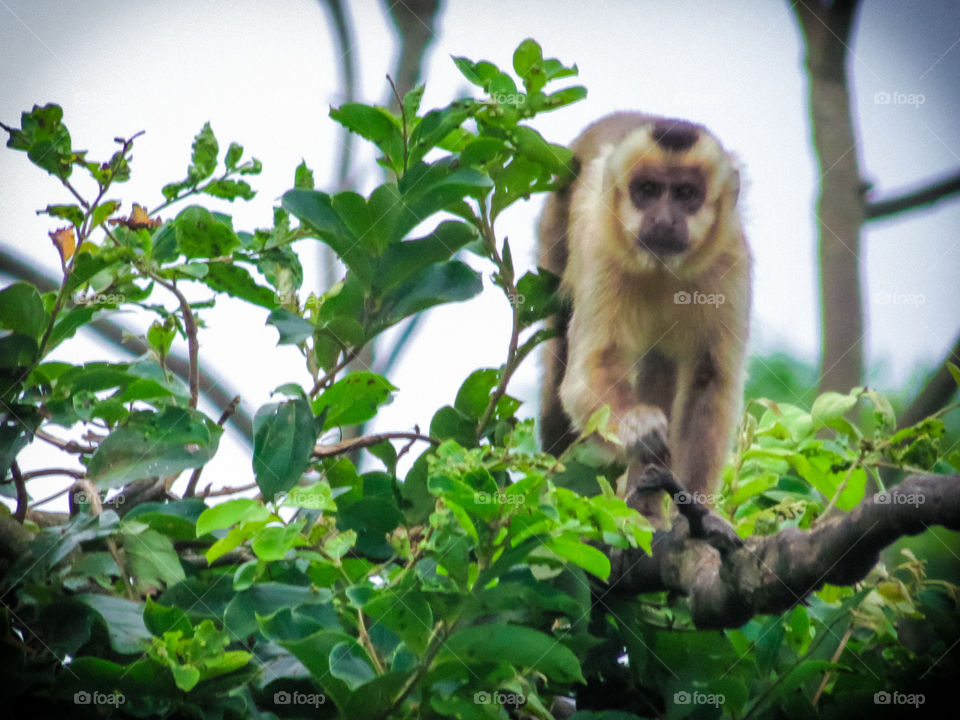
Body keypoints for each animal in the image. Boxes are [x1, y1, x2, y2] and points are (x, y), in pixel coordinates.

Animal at [538, 112, 750, 515]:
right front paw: (639, 425)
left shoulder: (730, 257)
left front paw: (694, 513)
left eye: (685, 194)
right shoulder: (600, 245)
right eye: (648, 190)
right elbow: (591, 369)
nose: (664, 221)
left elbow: (708, 378)